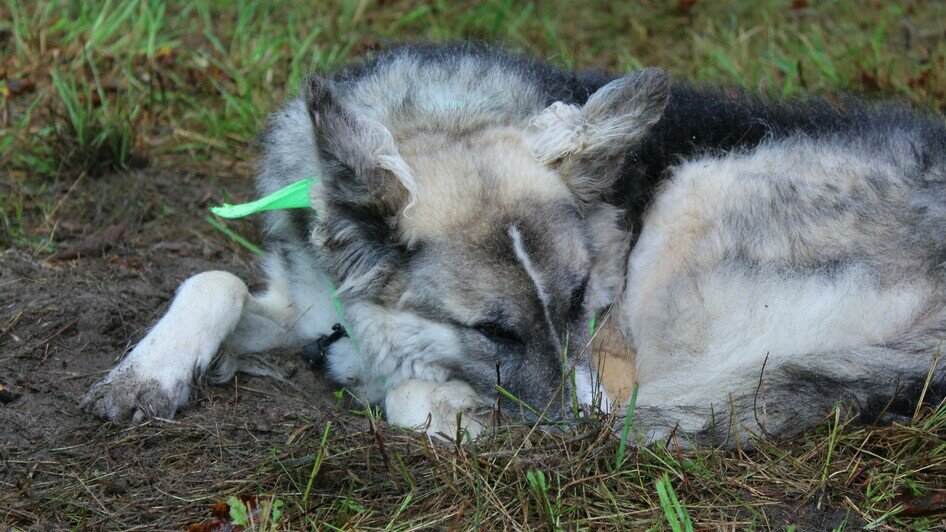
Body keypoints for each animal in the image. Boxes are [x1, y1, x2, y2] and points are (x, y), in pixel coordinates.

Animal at [83, 43, 944, 446]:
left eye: (582, 299)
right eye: (492, 329)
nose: (577, 435)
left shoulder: (611, 346)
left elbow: (407, 393)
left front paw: (447, 408)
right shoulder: (304, 301)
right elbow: (212, 281)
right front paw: (149, 375)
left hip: (692, 210)